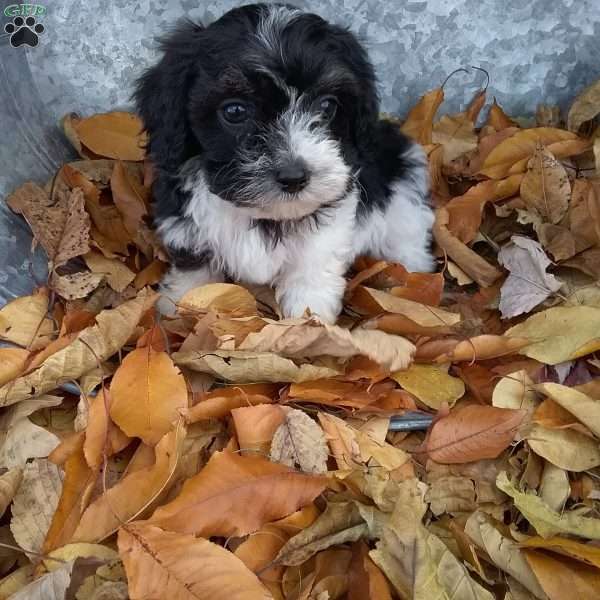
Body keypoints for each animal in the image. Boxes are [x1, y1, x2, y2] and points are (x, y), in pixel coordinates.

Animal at [135, 2, 434, 322]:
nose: (294, 177)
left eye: (326, 106)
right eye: (235, 111)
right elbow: (194, 267)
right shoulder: (186, 223)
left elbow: (313, 260)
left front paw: (311, 318)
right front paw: (180, 306)